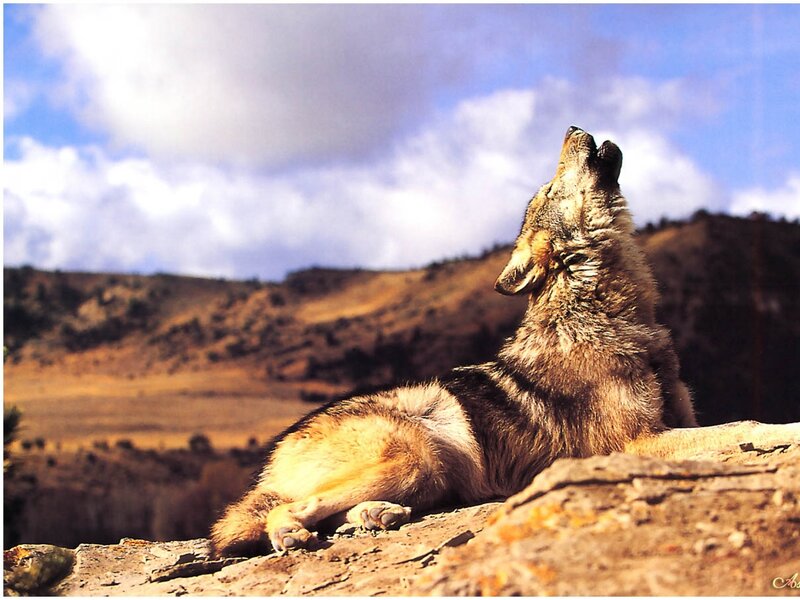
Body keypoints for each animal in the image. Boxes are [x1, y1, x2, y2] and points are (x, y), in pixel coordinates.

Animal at [210, 126, 697, 557]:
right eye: (550, 187)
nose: (573, 126)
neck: (603, 310)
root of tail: (277, 450)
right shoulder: (635, 443)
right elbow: (716, 436)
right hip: (417, 456)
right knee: (289, 510)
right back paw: (295, 533)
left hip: (429, 475)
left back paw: (377, 514)